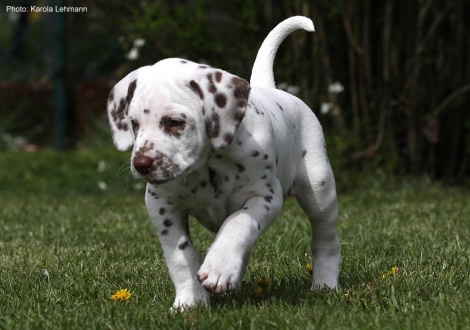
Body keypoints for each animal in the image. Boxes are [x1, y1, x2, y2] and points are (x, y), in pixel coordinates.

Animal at [107, 16, 342, 310]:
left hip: (320, 191)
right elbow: (181, 254)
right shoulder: (161, 205)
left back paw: (324, 283)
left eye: (175, 122)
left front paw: (218, 268)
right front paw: (191, 300)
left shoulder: (264, 197)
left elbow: (238, 224)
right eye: (134, 123)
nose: (141, 164)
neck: (208, 165)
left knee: (325, 239)